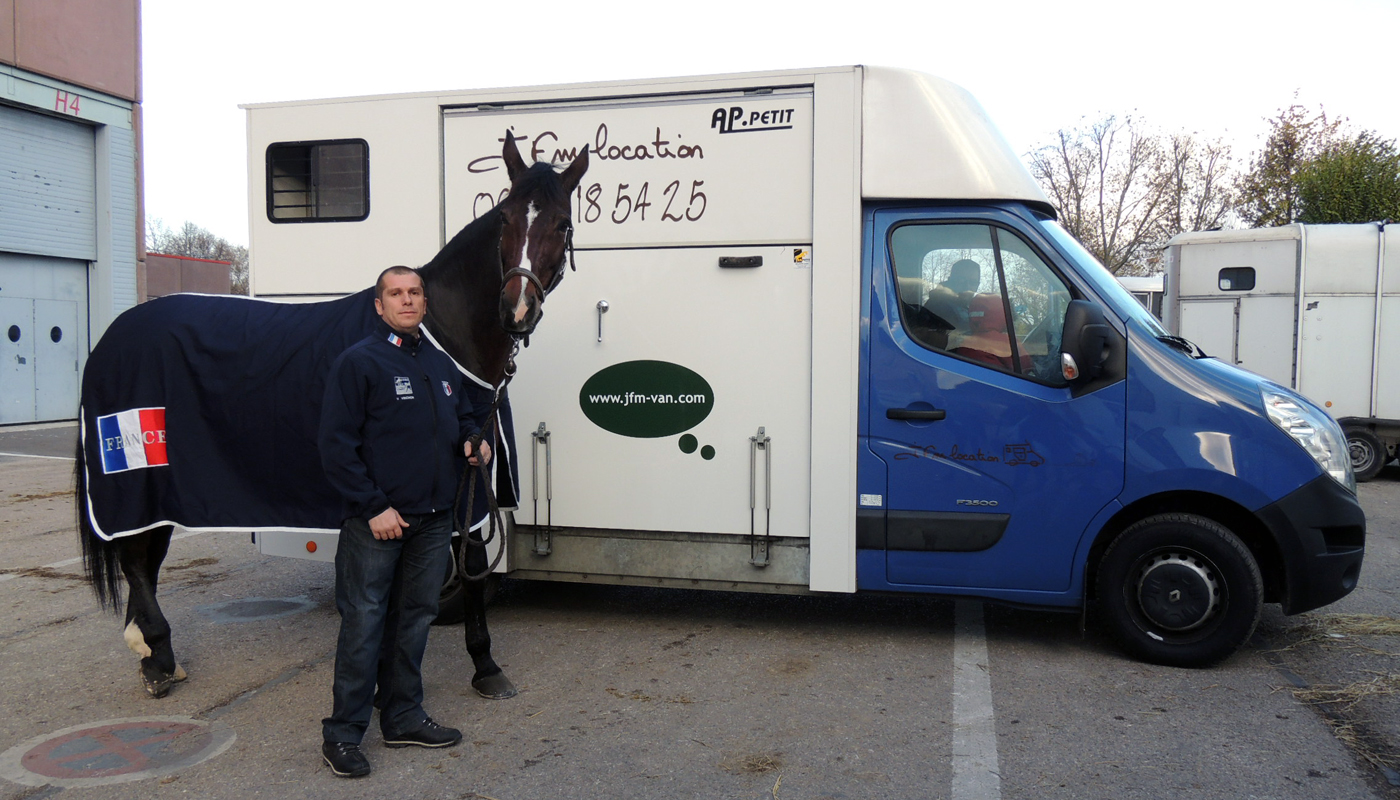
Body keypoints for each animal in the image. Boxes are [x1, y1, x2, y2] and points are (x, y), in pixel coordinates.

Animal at [79, 131, 588, 694]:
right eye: (505, 218)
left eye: (560, 223)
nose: (515, 310)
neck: (434, 335)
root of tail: (113, 335)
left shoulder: (470, 466)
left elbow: (474, 561)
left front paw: (485, 665)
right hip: (136, 474)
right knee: (134, 556)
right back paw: (158, 655)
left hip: (162, 488)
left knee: (145, 554)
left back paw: (150, 652)